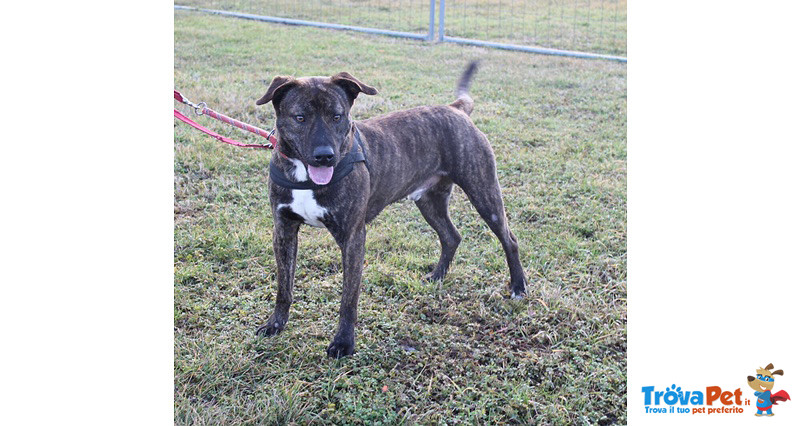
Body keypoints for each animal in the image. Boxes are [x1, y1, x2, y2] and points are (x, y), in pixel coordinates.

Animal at [256, 61, 524, 358]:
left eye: (337, 116)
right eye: (300, 117)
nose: (325, 156)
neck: (305, 177)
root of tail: (455, 108)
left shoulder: (352, 237)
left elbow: (348, 298)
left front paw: (343, 342)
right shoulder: (284, 230)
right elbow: (284, 286)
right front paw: (275, 324)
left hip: (483, 192)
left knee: (509, 239)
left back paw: (518, 287)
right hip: (429, 201)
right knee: (451, 236)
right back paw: (437, 276)